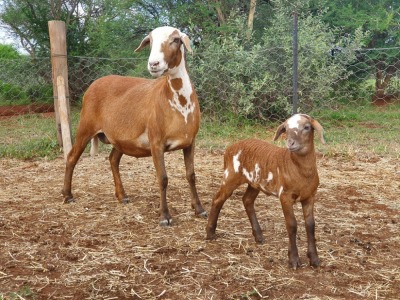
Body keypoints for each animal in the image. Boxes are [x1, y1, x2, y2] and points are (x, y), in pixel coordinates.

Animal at [62, 26, 208, 225]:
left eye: (176, 40)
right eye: (150, 41)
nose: (154, 64)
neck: (179, 103)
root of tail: (95, 83)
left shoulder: (190, 141)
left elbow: (191, 176)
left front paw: (199, 209)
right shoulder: (156, 142)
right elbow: (163, 178)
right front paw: (165, 217)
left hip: (120, 139)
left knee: (113, 159)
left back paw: (122, 196)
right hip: (85, 125)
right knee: (71, 157)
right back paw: (67, 195)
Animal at [206, 113, 324, 268]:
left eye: (306, 127)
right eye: (286, 129)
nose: (290, 143)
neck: (300, 170)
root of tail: (230, 148)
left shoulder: (310, 196)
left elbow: (310, 225)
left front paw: (314, 259)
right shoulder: (285, 196)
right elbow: (292, 225)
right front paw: (293, 259)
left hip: (254, 183)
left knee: (247, 200)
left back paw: (259, 236)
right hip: (230, 176)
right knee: (218, 199)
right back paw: (210, 233)